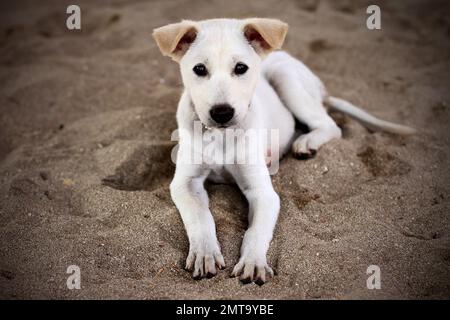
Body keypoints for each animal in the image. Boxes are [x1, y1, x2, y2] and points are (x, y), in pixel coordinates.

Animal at [152, 18, 414, 284]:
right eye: (199, 69)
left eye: (241, 68)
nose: (222, 113)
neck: (222, 135)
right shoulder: (185, 183)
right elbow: (200, 218)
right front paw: (204, 254)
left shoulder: (263, 192)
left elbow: (256, 231)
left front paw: (253, 262)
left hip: (285, 77)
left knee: (331, 125)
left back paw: (306, 143)